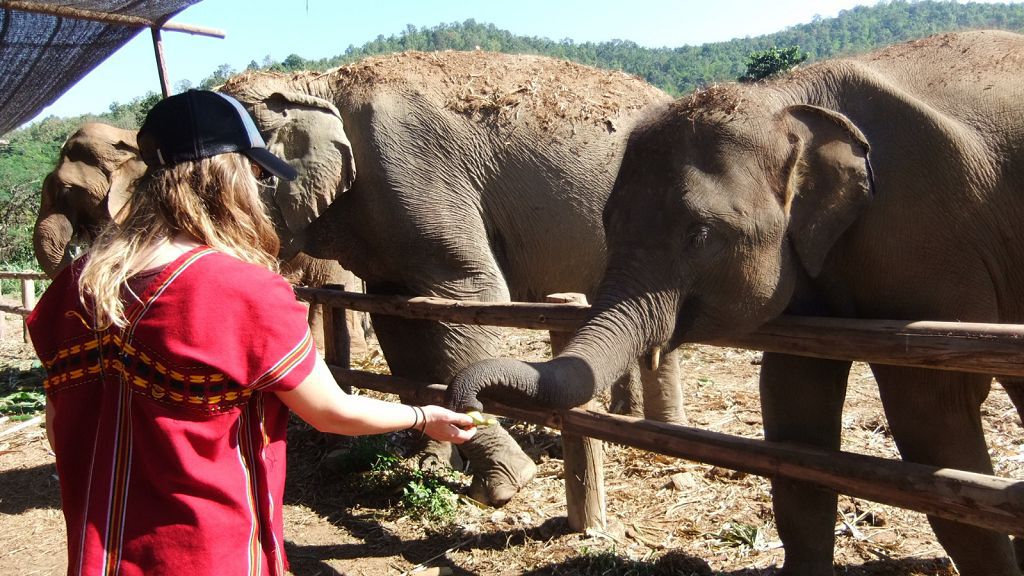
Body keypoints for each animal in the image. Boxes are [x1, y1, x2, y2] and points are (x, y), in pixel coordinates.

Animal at [218, 50, 678, 506]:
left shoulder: (412, 171)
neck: (314, 82)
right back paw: (630, 421)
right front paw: (433, 458)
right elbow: (399, 325)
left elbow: (472, 293)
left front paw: (505, 484)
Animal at [447, 30, 1024, 575]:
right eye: (607, 222)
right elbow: (795, 409)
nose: (468, 405)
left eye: (700, 234)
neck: (786, 100)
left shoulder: (927, 238)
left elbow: (933, 412)